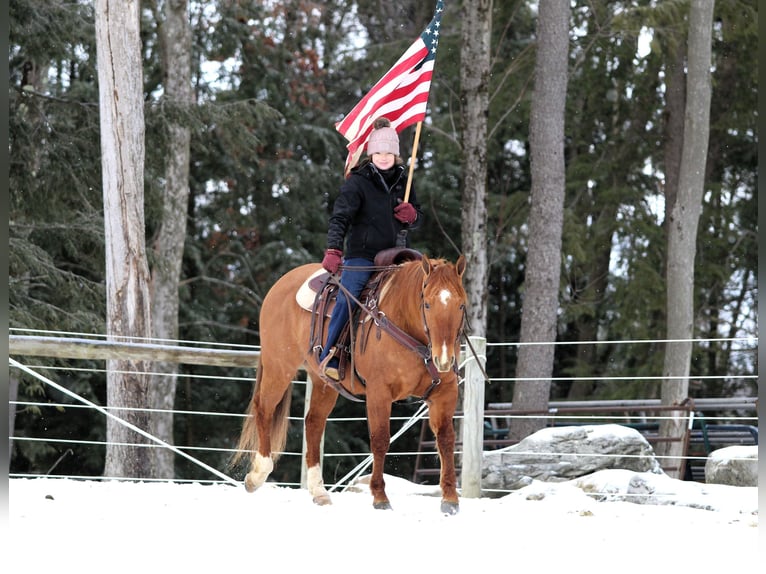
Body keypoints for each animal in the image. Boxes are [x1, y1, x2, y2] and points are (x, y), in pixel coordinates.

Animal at [231, 254, 468, 516]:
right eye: (427, 304)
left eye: (460, 305)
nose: (443, 358)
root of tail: (281, 283)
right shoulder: (379, 392)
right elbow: (380, 439)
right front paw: (380, 497)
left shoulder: (445, 393)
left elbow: (446, 440)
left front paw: (450, 499)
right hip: (279, 365)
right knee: (264, 409)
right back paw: (257, 475)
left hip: (322, 382)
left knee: (313, 423)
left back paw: (319, 491)